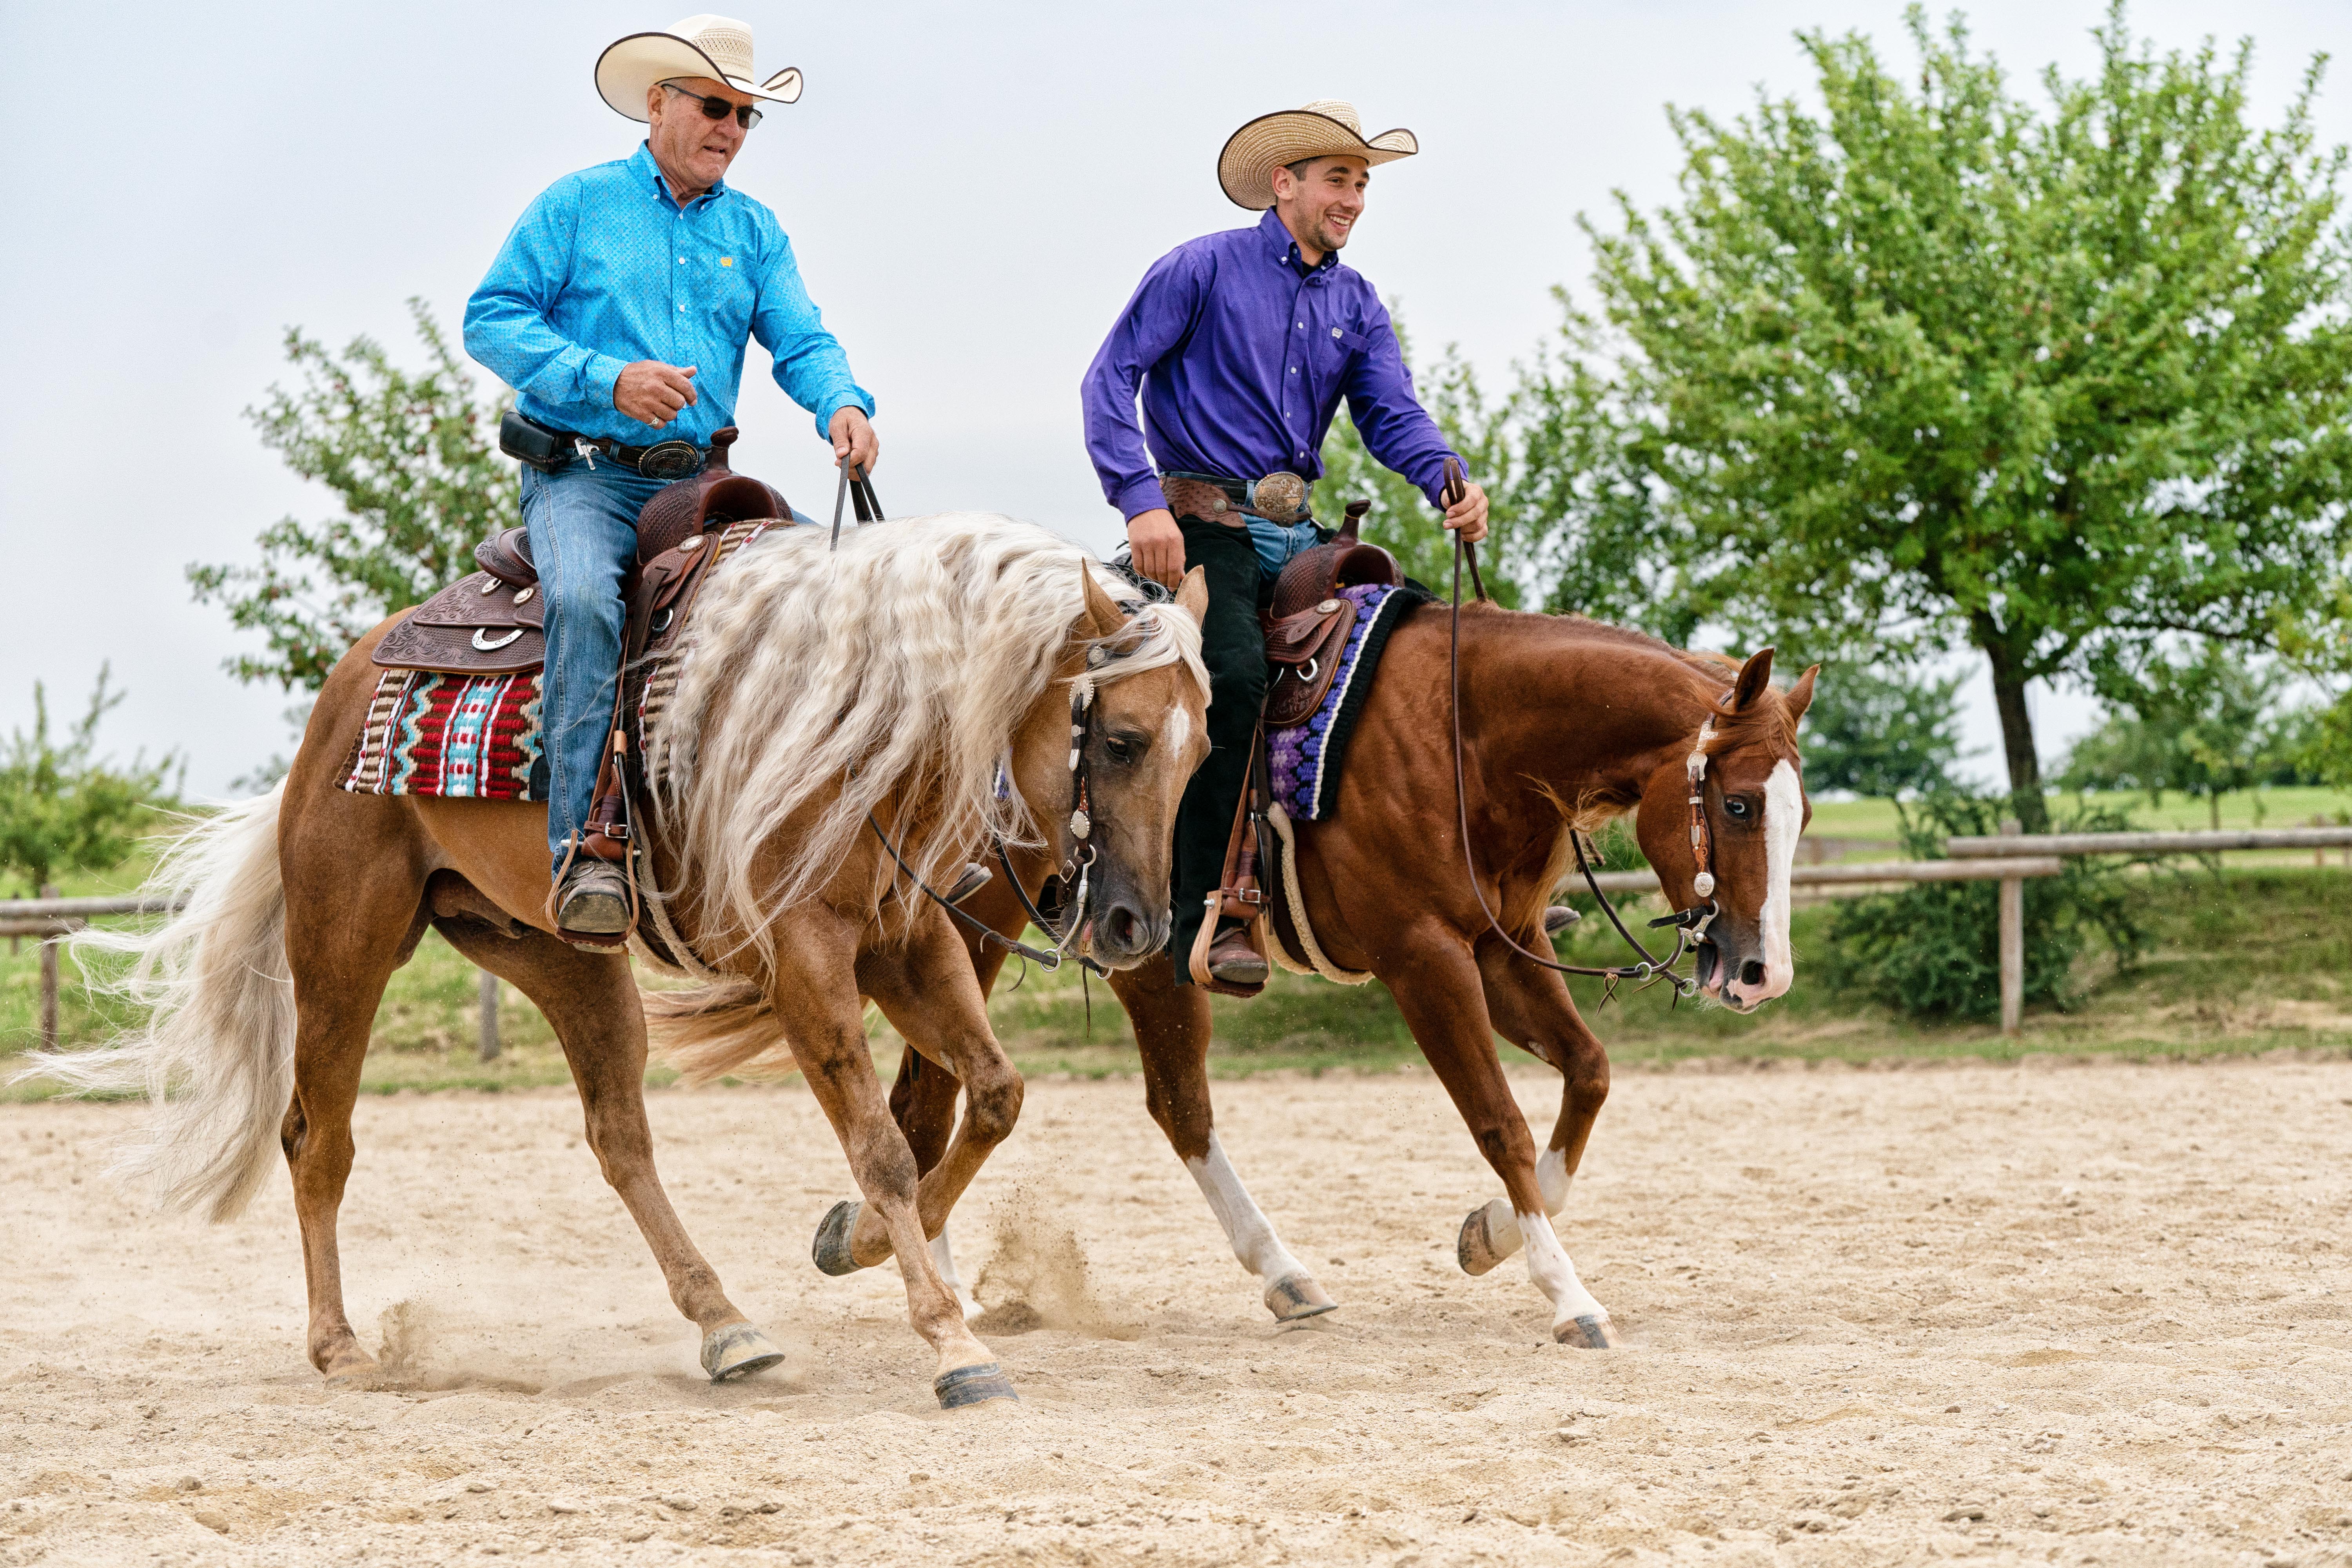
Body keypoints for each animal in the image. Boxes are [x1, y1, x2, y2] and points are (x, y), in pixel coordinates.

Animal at [27, 513, 1211, 1409]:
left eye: (1202, 745)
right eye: (1120, 741)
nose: (1134, 928)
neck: (862, 719)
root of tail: (344, 693)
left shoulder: (906, 943)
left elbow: (995, 1096)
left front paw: (860, 1241)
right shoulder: (808, 962)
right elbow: (880, 1144)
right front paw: (955, 1348)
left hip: (564, 960)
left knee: (619, 1137)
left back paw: (727, 1325)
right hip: (343, 947)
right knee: (319, 1139)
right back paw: (342, 1345)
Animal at [878, 603, 1815, 1347]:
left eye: (1800, 813)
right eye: (1737, 804)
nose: (1763, 974)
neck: (1467, 735)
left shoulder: (1502, 946)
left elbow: (1589, 1075)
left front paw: (1489, 1234)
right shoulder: (1426, 960)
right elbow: (1500, 1123)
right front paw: (1568, 1295)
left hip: (1139, 958)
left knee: (1178, 1105)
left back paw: (1285, 1276)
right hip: (968, 928)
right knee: (930, 1101)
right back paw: (934, 1277)